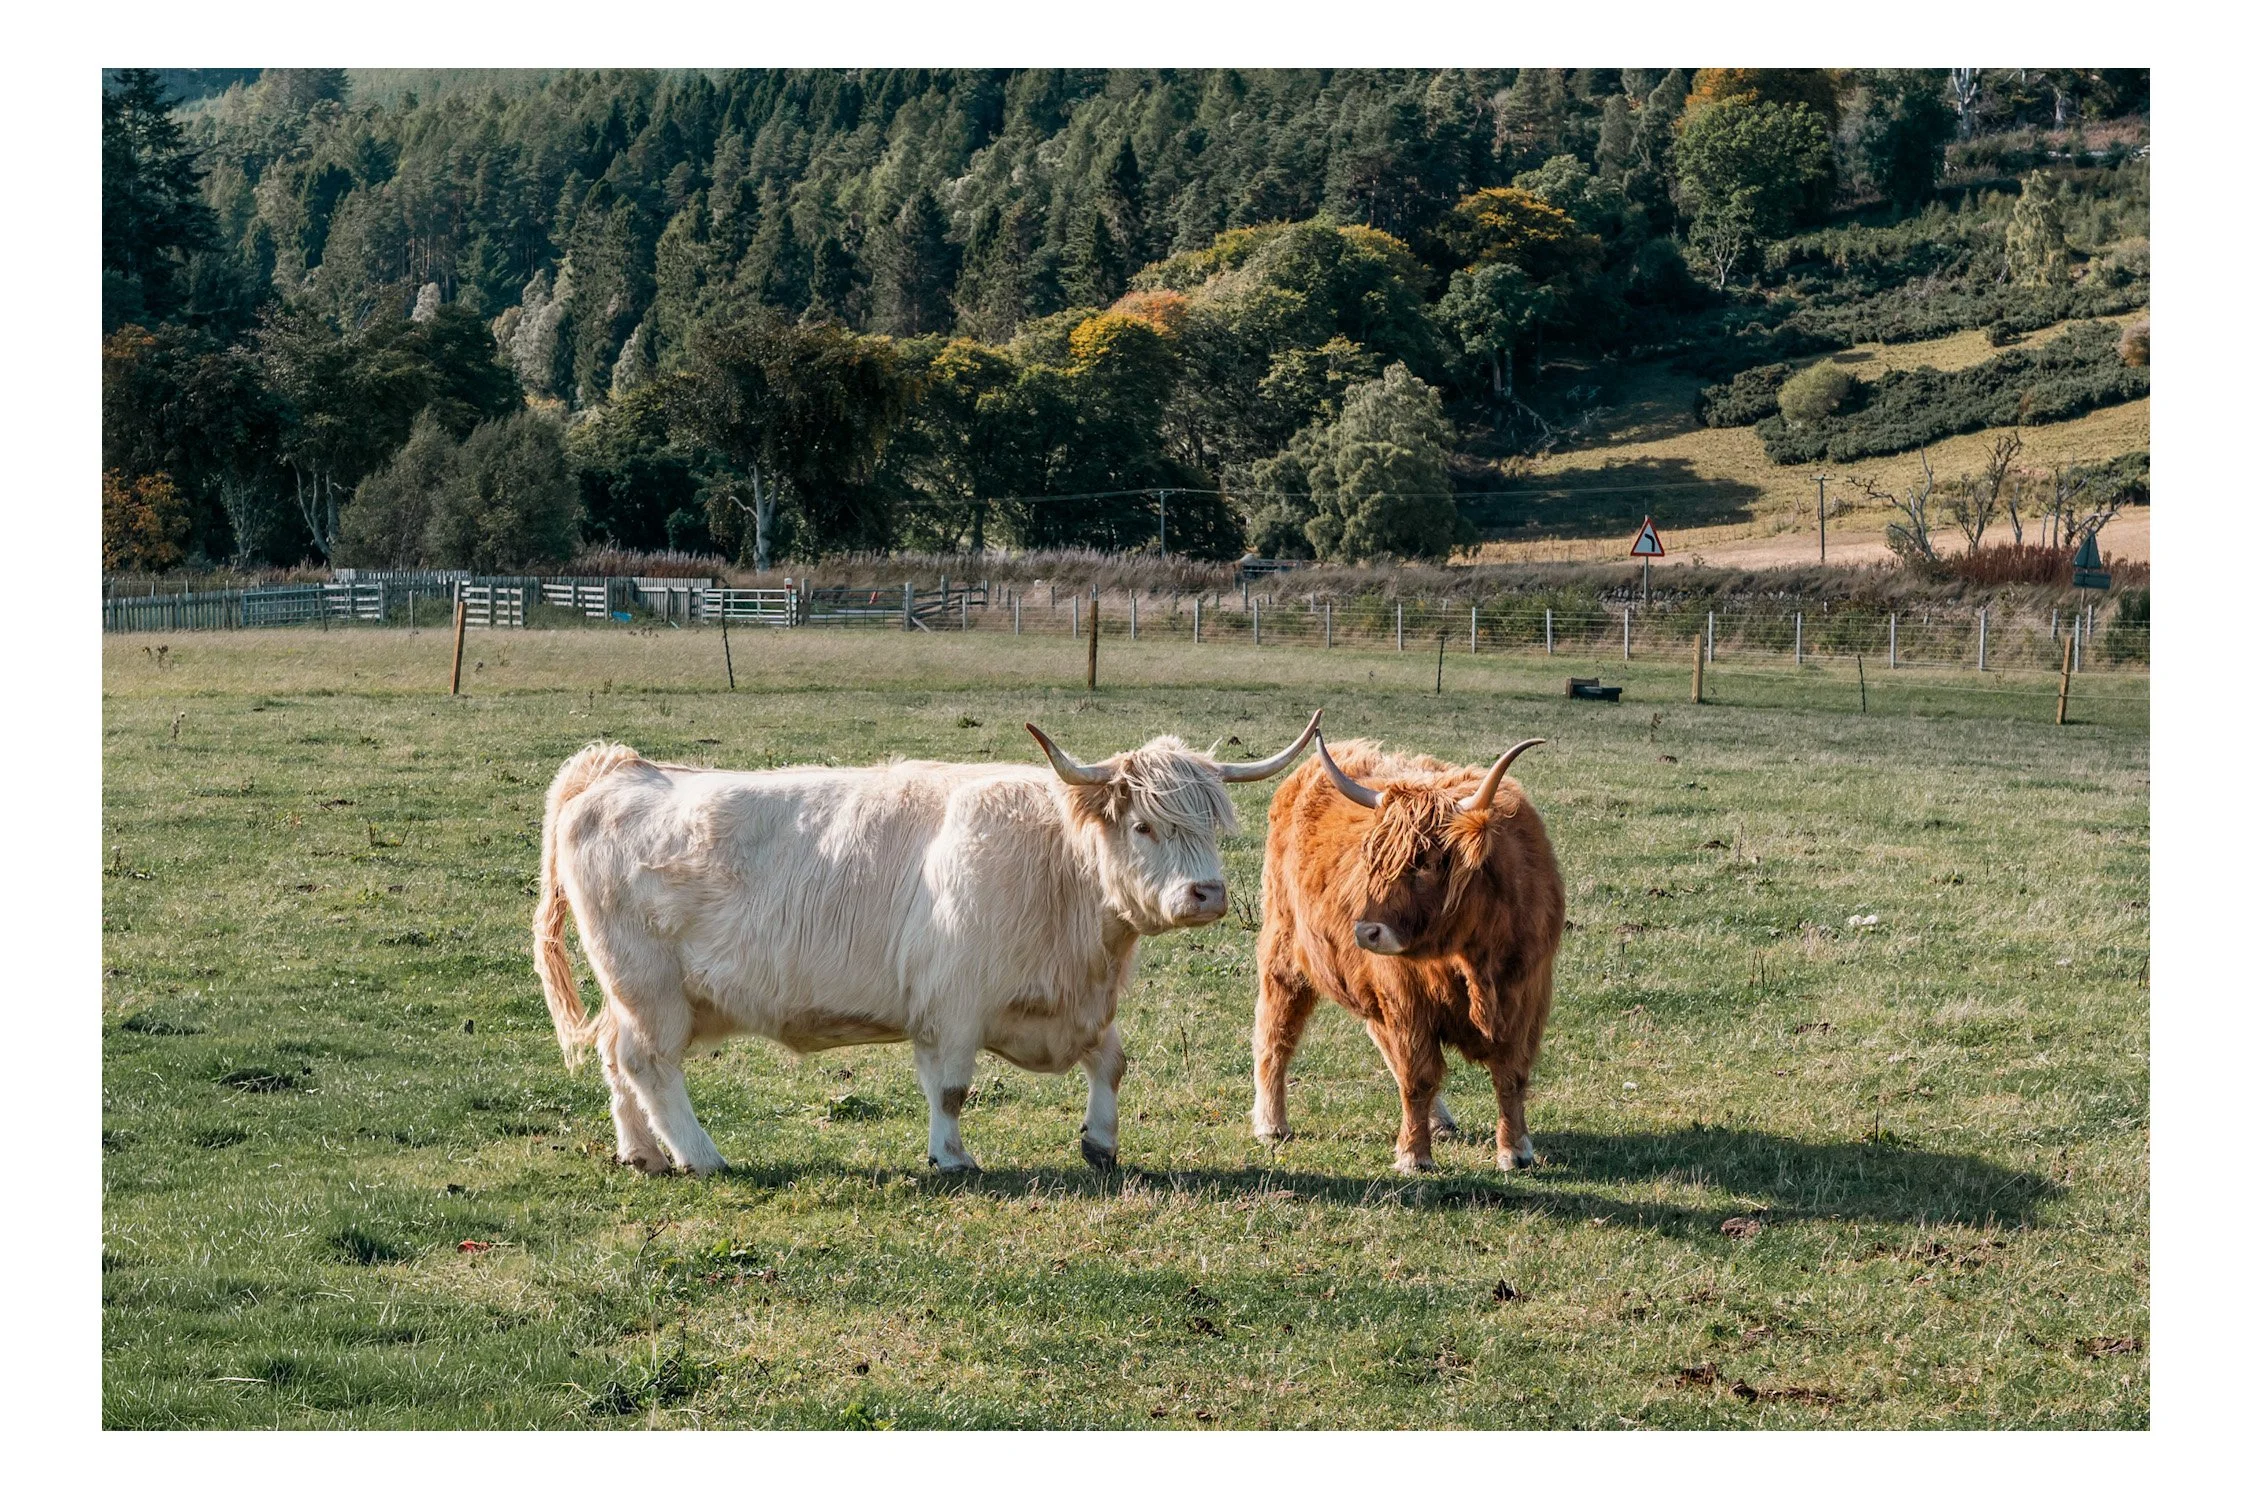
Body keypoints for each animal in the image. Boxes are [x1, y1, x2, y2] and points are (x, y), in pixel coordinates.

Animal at [532, 713, 1322, 1176]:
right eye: (1144, 826)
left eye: (1210, 825)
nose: (1207, 894)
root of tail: (620, 768)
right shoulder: (952, 1007)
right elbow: (951, 1088)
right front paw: (951, 1157)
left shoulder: (1074, 1007)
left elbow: (1112, 1062)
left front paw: (1100, 1142)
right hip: (651, 988)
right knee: (648, 1063)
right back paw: (701, 1156)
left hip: (640, 995)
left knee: (616, 1058)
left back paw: (641, 1154)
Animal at [1250, 732, 1562, 1175]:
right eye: (1373, 858)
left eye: (1427, 862)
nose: (1365, 932)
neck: (1472, 959)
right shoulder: (1406, 997)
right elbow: (1418, 1075)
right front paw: (1414, 1154)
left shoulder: (1527, 997)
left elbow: (1511, 1075)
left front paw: (1515, 1150)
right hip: (1284, 953)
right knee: (1275, 1033)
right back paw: (1271, 1123)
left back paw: (1441, 1121)